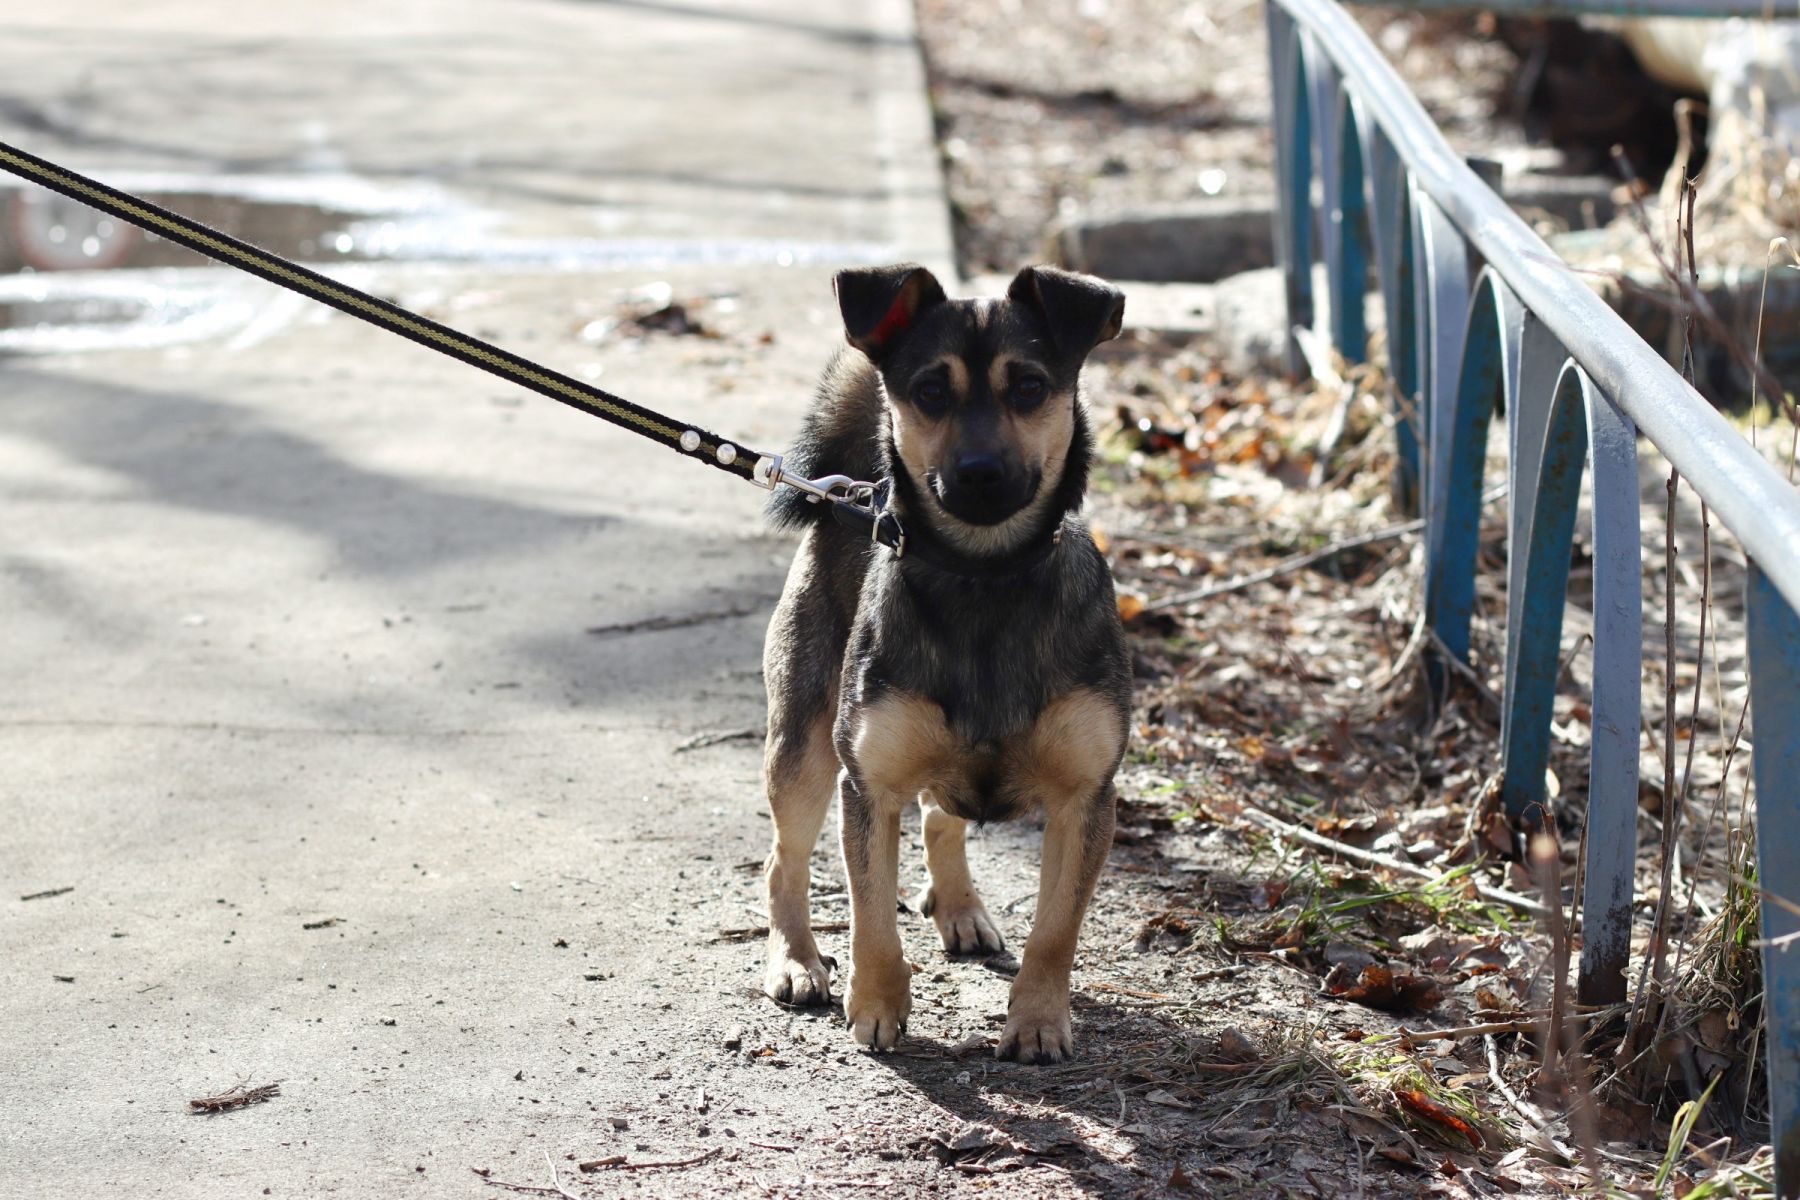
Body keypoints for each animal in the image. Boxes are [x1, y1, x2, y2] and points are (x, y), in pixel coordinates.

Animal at [756, 262, 1123, 1057]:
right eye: (929, 391)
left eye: (1030, 386)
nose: (980, 472)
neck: (984, 574)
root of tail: (853, 495)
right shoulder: (867, 785)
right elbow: (870, 916)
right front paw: (876, 1006)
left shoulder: (1086, 798)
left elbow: (1056, 930)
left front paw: (1037, 1020)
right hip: (802, 749)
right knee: (784, 859)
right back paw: (796, 959)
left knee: (940, 820)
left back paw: (960, 907)